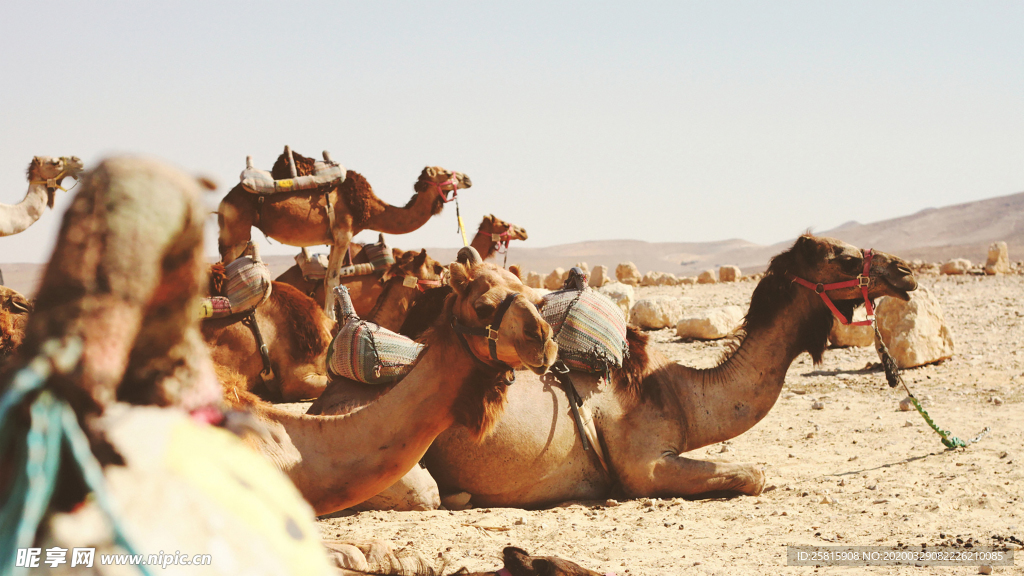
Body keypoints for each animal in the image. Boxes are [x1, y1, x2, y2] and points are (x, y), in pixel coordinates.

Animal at [220, 145, 471, 317]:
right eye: (446, 172)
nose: (467, 178)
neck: (369, 210)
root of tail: (225, 200)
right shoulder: (344, 233)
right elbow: (332, 280)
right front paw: (331, 319)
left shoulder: (333, 240)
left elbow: (330, 279)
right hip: (236, 234)